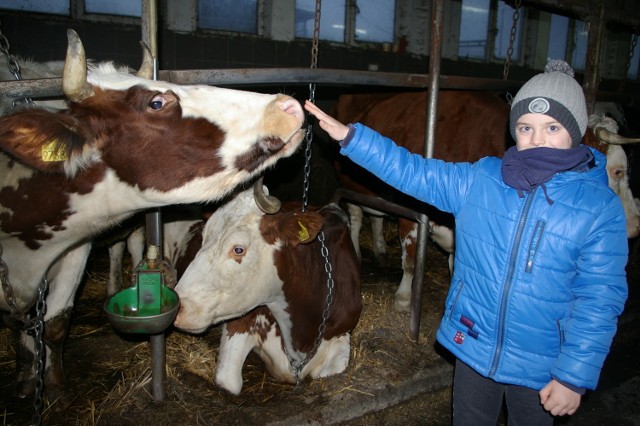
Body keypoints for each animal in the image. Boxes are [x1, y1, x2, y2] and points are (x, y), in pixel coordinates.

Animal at [0, 30, 304, 400]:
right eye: (156, 103)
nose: (287, 105)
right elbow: (25, 323)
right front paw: (28, 381)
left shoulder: (75, 249)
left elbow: (55, 322)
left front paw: (55, 390)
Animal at [172, 188, 362, 394]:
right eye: (203, 237)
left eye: (238, 249)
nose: (179, 307)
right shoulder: (241, 322)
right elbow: (229, 382)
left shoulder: (342, 333)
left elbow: (332, 372)